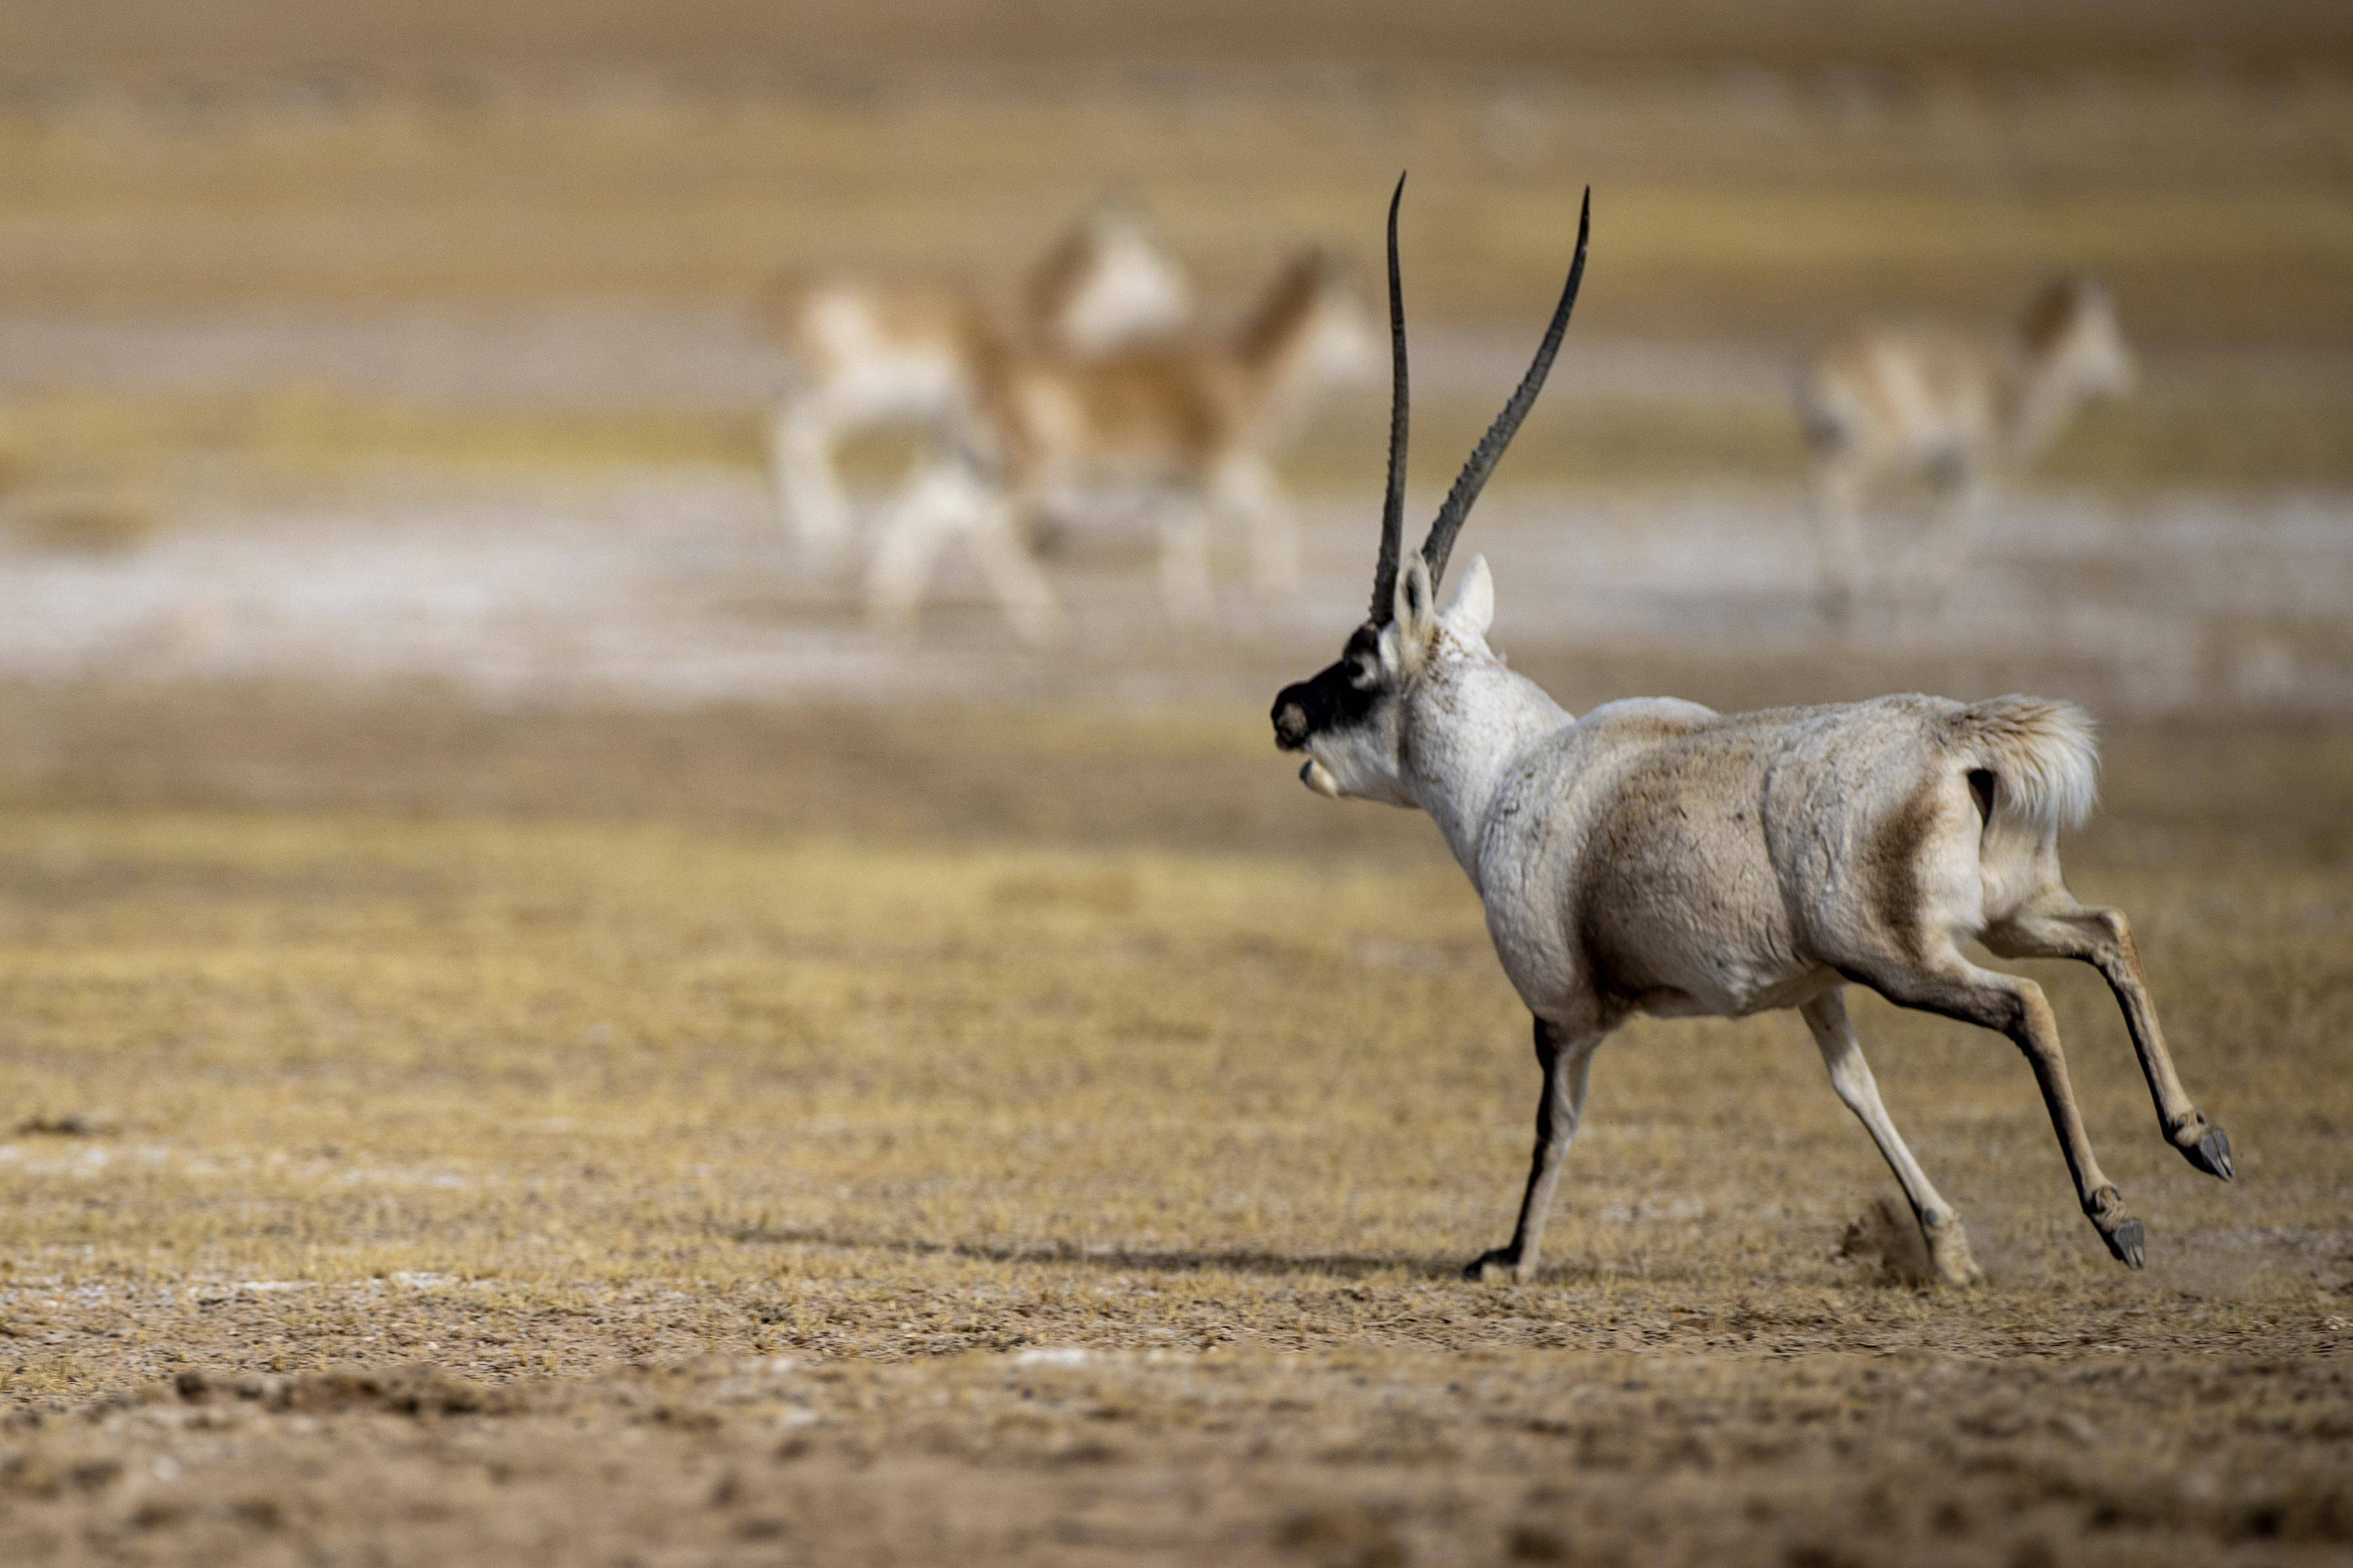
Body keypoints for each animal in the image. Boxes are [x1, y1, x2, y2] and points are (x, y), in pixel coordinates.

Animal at [757, 200, 1195, 557]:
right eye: (1157, 262)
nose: (1186, 304)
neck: (1023, 312)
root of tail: (786, 294)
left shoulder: (945, 425)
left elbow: (927, 474)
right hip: (853, 402)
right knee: (800, 434)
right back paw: (829, 532)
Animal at [866, 245, 1374, 639]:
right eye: (1355, 309)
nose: (1377, 353)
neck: (1248, 371)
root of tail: (974, 388)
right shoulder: (1216, 467)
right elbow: (1273, 509)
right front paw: (1270, 589)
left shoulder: (1179, 485)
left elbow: (1181, 538)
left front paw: (1191, 615)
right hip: (1030, 476)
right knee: (987, 532)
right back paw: (1044, 622)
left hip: (969, 470)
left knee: (925, 517)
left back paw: (895, 610)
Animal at [1788, 278, 2146, 620]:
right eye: (2109, 336)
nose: (2129, 380)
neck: (2021, 379)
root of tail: (1825, 362)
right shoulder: (1979, 470)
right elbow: (1964, 520)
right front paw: (1916, 588)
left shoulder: (1946, 472)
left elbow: (1943, 514)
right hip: (1879, 451)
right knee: (1836, 489)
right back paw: (1846, 587)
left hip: (1827, 445)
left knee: (1817, 488)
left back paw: (1836, 589)